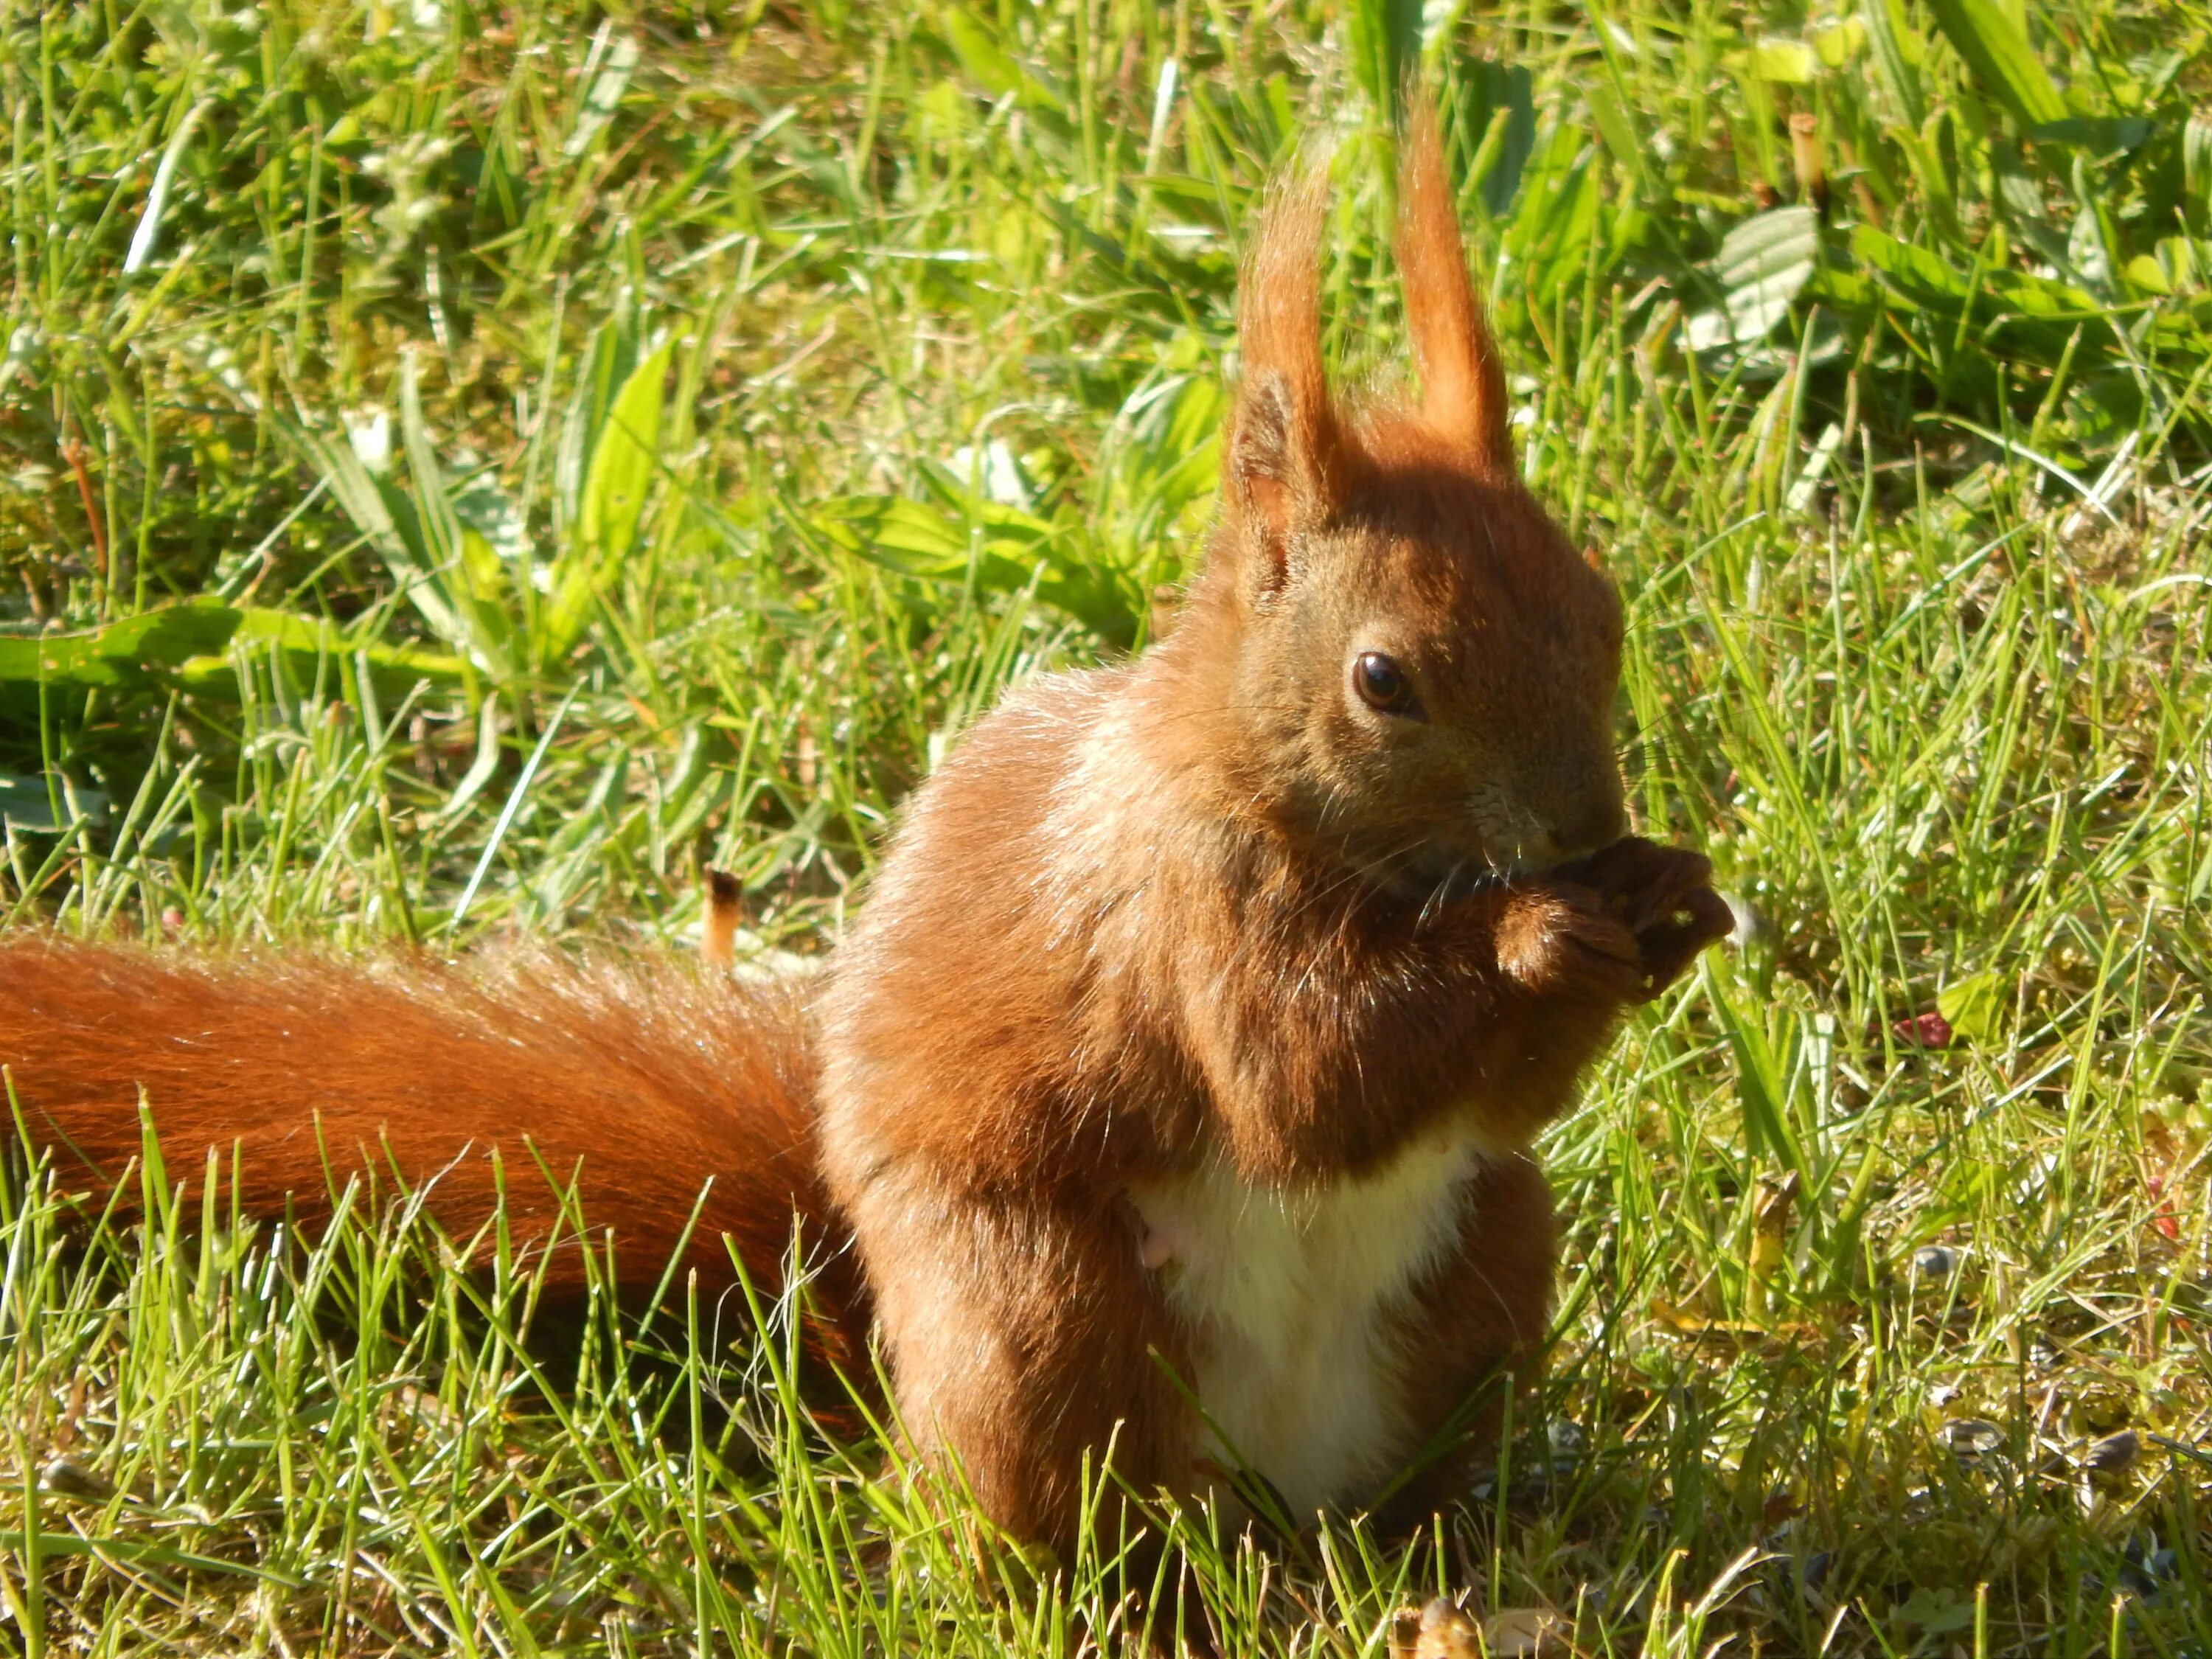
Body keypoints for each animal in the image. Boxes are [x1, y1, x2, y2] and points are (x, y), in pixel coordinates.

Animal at [0, 117, 1725, 1557]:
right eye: (1383, 682)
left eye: (1603, 608)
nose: (1584, 825)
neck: (1289, 807)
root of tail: (1273, 1499)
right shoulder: (1179, 906)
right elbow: (1305, 1081)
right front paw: (1540, 933)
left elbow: (1488, 1100)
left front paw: (1668, 894)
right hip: (1036, 1312)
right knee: (1064, 1511)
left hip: (1491, 1258)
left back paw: (1442, 1551)